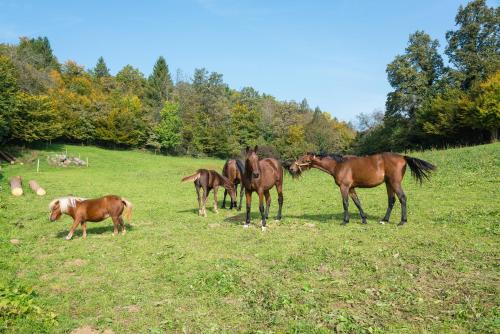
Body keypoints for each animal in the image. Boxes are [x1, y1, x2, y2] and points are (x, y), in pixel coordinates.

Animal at [288, 153, 436, 226]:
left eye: (304, 159)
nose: (291, 168)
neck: (338, 165)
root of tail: (402, 157)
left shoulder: (344, 187)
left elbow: (346, 204)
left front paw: (345, 221)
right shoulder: (351, 188)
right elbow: (357, 203)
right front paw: (364, 220)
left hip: (395, 183)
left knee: (402, 198)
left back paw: (402, 221)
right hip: (389, 183)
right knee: (391, 200)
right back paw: (384, 220)